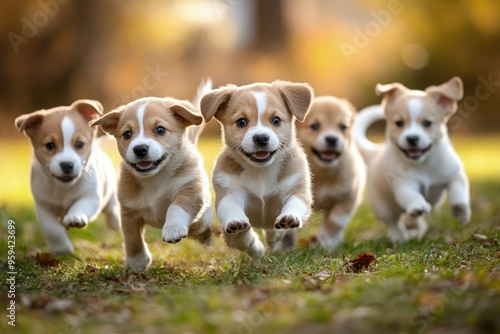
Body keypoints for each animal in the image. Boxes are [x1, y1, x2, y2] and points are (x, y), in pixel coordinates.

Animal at [14, 99, 120, 253]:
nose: (67, 165)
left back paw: (115, 222)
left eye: (79, 144)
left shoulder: (91, 197)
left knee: (111, 208)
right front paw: (62, 249)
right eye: (50, 145)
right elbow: (52, 229)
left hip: (109, 192)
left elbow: (80, 205)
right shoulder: (43, 206)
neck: (63, 189)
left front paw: (75, 217)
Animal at [90, 80, 213, 272]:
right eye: (127, 134)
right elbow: (132, 239)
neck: (155, 178)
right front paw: (137, 261)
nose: (140, 149)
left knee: (201, 224)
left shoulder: (191, 190)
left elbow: (176, 206)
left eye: (160, 130)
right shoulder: (129, 212)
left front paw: (172, 228)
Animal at [199, 80, 312, 260]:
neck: (261, 171)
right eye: (241, 122)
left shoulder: (296, 188)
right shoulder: (229, 192)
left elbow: (295, 203)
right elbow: (233, 213)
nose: (261, 138)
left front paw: (289, 217)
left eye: (276, 120)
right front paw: (237, 224)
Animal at [294, 96, 366, 248]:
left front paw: (326, 242)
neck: (323, 173)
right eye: (315, 126)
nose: (332, 139)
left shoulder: (347, 198)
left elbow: (334, 222)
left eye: (342, 127)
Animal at [354, 77, 470, 241]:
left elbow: (458, 192)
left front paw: (460, 212)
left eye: (427, 123)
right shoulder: (404, 185)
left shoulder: (456, 174)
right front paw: (418, 205)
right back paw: (399, 236)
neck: (424, 163)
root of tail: (374, 153)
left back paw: (416, 227)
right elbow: (412, 195)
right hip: (382, 207)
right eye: (399, 123)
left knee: (410, 219)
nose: (412, 138)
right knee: (393, 222)